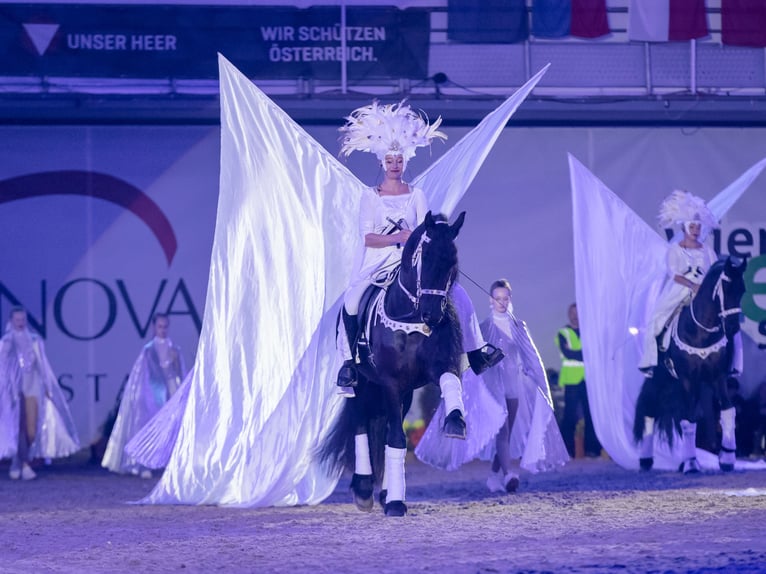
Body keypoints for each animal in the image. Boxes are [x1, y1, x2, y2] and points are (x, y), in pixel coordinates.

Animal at [320, 210, 464, 516]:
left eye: (453, 261)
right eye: (426, 257)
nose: (433, 315)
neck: (410, 318)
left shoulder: (436, 367)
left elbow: (450, 382)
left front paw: (456, 422)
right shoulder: (389, 382)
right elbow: (396, 438)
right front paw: (397, 504)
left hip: (405, 392)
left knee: (385, 425)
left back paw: (385, 491)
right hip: (361, 383)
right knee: (361, 423)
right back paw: (364, 490)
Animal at [636, 258, 752, 474]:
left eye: (742, 290)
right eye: (725, 288)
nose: (733, 327)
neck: (701, 331)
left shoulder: (718, 377)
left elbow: (727, 410)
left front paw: (727, 458)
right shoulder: (688, 379)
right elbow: (689, 417)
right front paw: (691, 462)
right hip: (660, 377)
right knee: (649, 407)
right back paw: (646, 460)